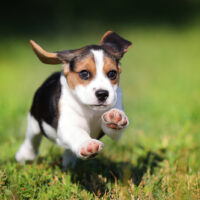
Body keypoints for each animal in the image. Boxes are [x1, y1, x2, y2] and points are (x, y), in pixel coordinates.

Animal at [15, 30, 131, 169]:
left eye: (112, 73)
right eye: (84, 73)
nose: (103, 94)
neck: (91, 110)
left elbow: (114, 129)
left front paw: (115, 117)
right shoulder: (67, 126)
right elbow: (77, 133)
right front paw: (88, 144)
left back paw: (68, 163)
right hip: (34, 121)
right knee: (32, 140)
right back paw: (25, 155)